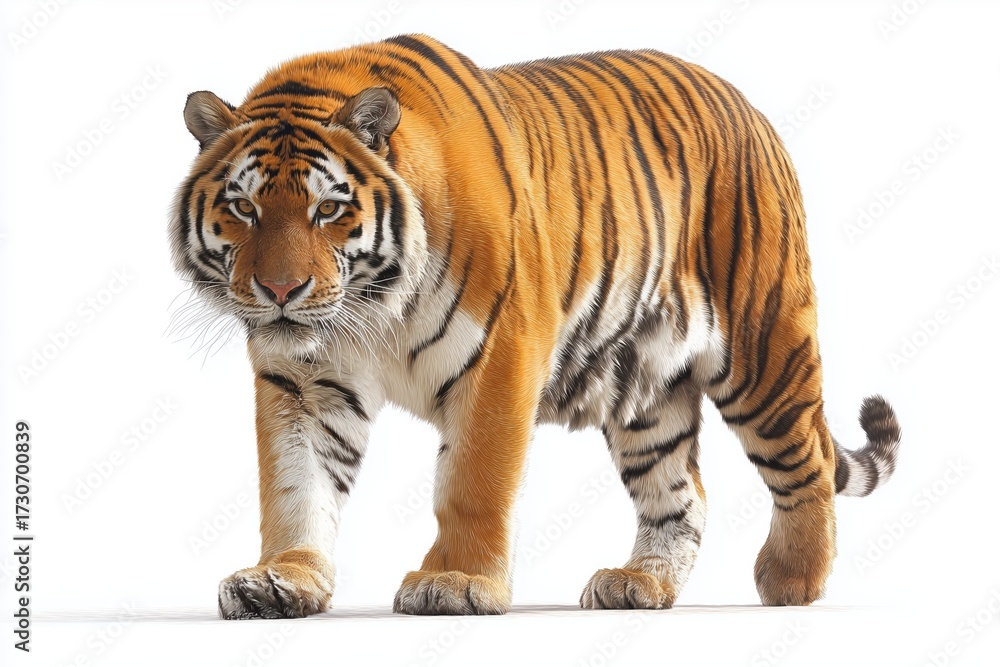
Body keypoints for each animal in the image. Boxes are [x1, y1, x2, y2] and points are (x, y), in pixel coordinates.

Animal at [171, 33, 901, 618]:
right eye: (243, 207)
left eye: (327, 209)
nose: (280, 290)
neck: (371, 307)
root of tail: (744, 102)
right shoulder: (304, 381)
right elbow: (296, 483)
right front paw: (281, 579)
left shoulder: (501, 352)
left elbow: (472, 480)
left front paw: (457, 582)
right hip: (645, 385)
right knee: (681, 492)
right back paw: (639, 582)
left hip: (762, 346)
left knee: (804, 459)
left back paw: (793, 580)